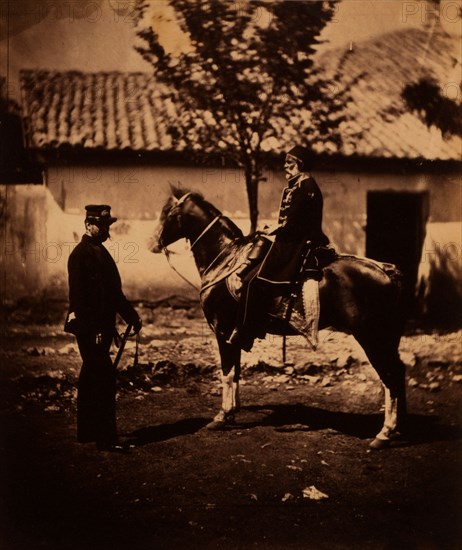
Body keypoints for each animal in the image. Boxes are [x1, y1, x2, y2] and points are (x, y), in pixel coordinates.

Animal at [150, 188, 406, 450]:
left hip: (371, 337)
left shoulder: (223, 332)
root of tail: (386, 270)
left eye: (167, 212)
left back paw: (384, 433)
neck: (226, 258)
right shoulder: (235, 334)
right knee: (398, 373)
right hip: (386, 338)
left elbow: (227, 372)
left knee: (390, 375)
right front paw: (233, 411)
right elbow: (236, 371)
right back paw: (396, 429)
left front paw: (223, 415)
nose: (153, 243)